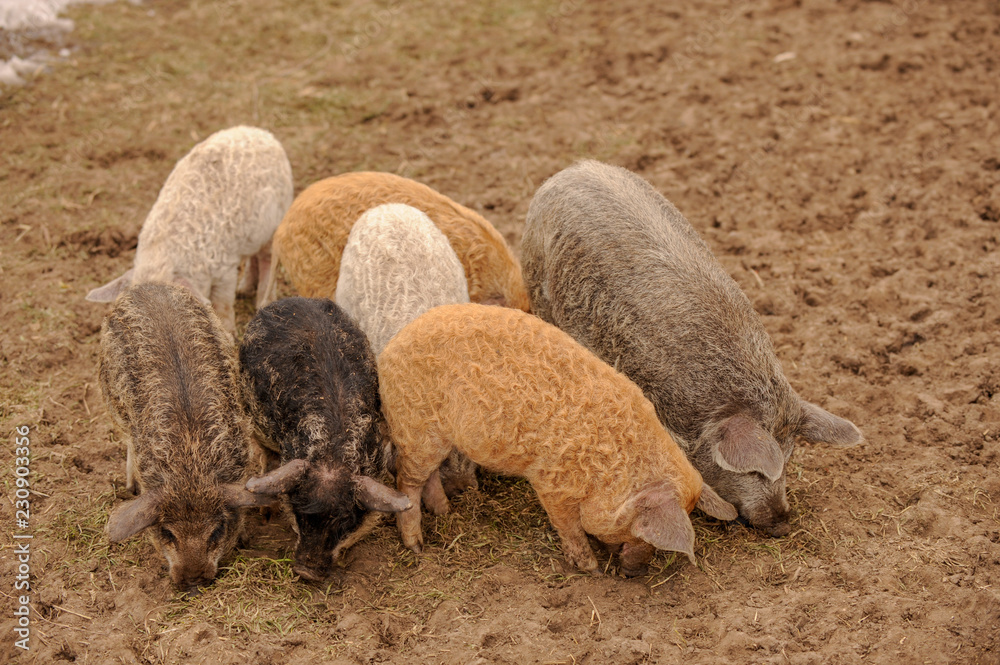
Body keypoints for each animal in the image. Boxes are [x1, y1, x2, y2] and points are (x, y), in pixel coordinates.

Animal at [86, 125, 294, 332]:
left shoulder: (225, 270)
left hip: (277, 217)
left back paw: (262, 302)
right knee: (254, 255)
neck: (163, 253)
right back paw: (244, 289)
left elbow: (223, 306)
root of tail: (259, 131)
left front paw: (227, 332)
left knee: (268, 259)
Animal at [100, 282, 273, 594]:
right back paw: (130, 488)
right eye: (168, 532)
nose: (193, 581)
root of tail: (145, 286)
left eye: (216, 530)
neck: (190, 463)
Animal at [378, 303, 737, 576]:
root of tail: (388, 350)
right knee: (406, 481)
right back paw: (417, 546)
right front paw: (591, 569)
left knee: (428, 477)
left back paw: (445, 512)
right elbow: (569, 526)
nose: (634, 573)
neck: (613, 468)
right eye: (641, 533)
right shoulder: (550, 482)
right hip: (414, 427)